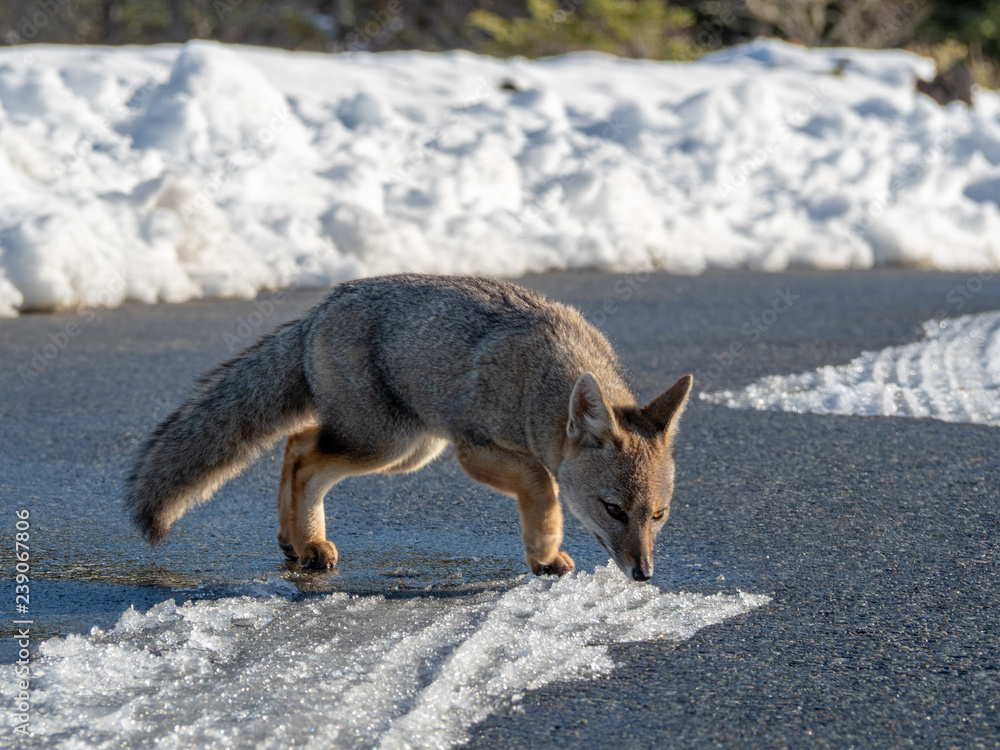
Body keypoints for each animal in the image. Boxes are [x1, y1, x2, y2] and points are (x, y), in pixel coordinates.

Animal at [125, 274, 693, 581]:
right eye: (613, 510)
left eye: (658, 515)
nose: (644, 574)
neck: (541, 378)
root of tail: (320, 308)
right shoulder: (473, 447)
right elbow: (542, 484)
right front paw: (544, 552)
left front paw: (545, 553)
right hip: (390, 444)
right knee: (306, 459)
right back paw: (309, 544)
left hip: (404, 449)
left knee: (296, 441)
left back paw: (296, 540)